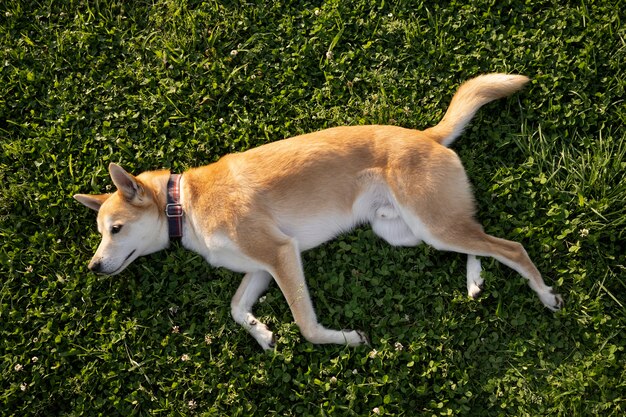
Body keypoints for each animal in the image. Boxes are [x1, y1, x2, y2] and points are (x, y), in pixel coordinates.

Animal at [75, 74, 564, 348]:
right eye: (100, 232)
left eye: (115, 229)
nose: (93, 266)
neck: (184, 204)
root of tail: (424, 134)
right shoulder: (261, 268)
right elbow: (234, 307)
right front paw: (262, 332)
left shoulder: (280, 254)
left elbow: (306, 324)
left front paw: (344, 339)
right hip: (410, 230)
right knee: (479, 240)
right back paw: (475, 280)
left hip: (432, 223)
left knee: (511, 247)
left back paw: (544, 294)